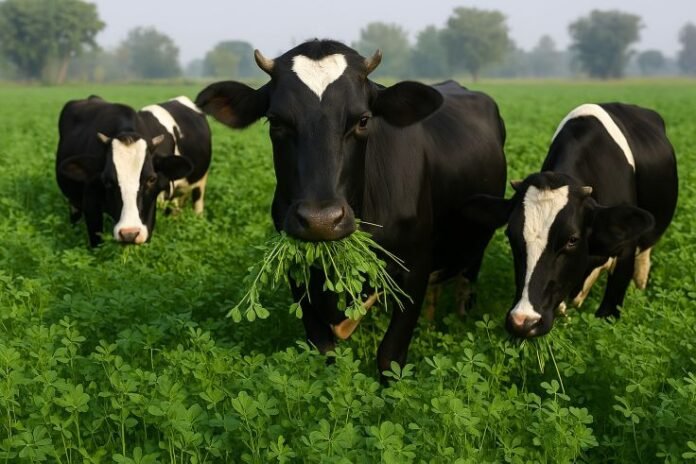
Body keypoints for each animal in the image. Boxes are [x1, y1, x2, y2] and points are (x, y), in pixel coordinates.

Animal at [55, 95, 211, 247]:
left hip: (199, 185)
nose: (129, 233)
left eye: (151, 179)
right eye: (107, 181)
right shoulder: (90, 205)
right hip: (74, 202)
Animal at [195, 40, 507, 376]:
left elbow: (390, 355)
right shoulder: (298, 269)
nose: (321, 220)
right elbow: (323, 347)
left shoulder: (416, 266)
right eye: (275, 121)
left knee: (466, 286)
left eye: (363, 120)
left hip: (475, 245)